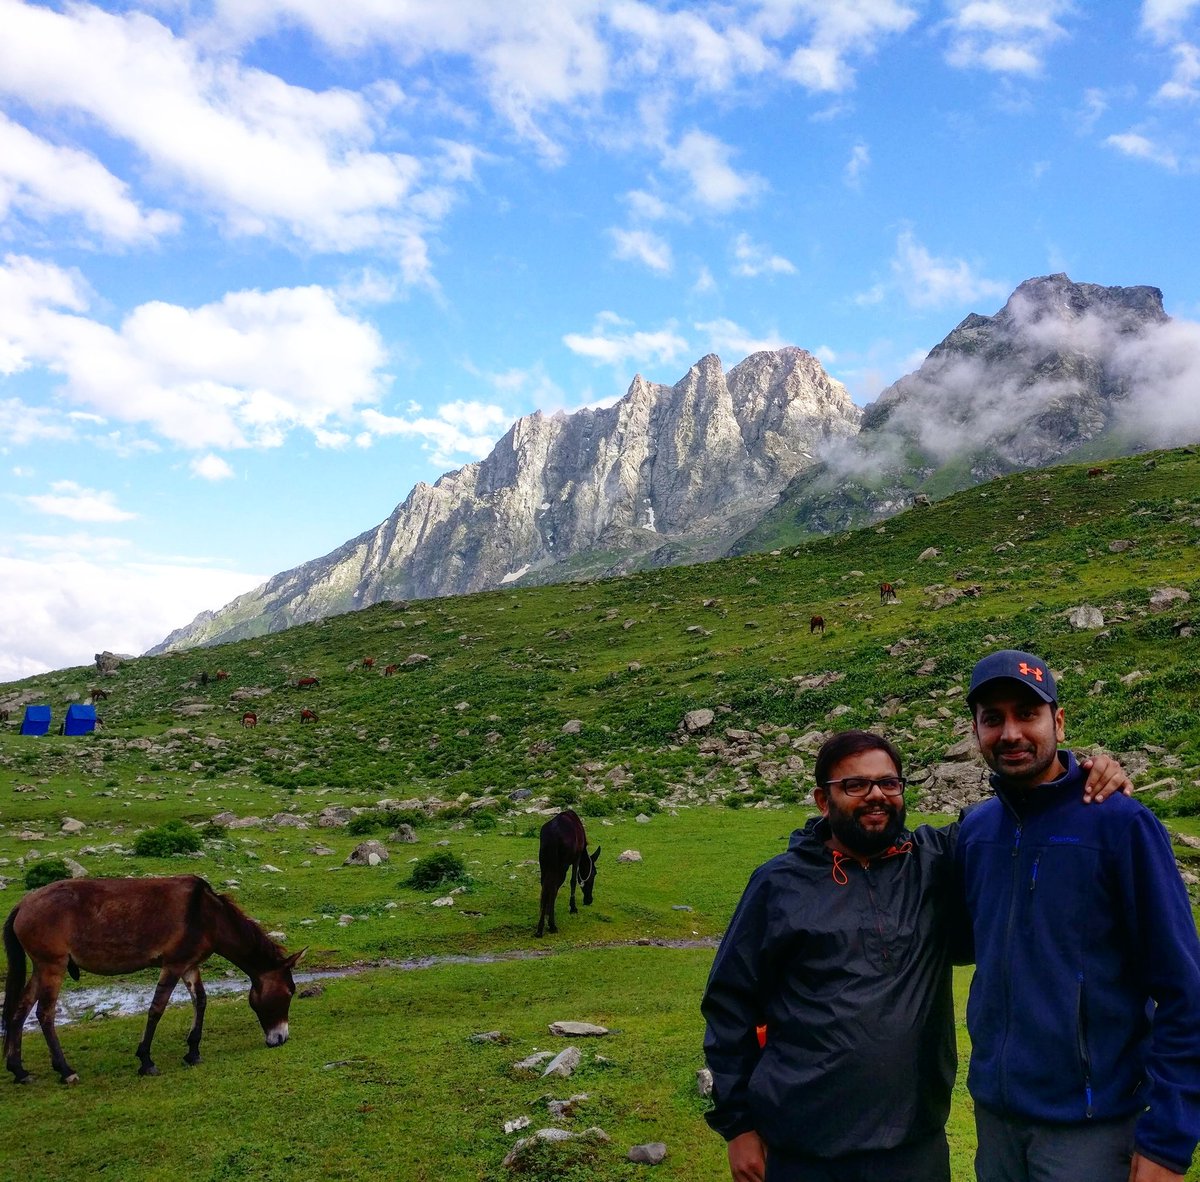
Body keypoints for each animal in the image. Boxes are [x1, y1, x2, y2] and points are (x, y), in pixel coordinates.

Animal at [2, 873, 302, 1084]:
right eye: (289, 992)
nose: (281, 1038)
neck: (207, 915)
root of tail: (23, 904)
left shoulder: (189, 965)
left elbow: (201, 1001)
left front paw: (193, 1052)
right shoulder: (173, 965)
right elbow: (157, 1008)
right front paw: (146, 1060)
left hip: (41, 968)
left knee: (20, 1010)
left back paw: (19, 1070)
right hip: (52, 967)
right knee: (44, 1014)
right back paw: (65, 1070)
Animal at [537, 806, 600, 936]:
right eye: (594, 873)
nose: (589, 900)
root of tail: (552, 836)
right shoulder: (576, 858)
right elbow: (573, 881)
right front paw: (573, 907)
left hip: (544, 864)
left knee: (544, 888)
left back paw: (540, 927)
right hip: (561, 866)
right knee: (554, 889)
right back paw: (552, 925)